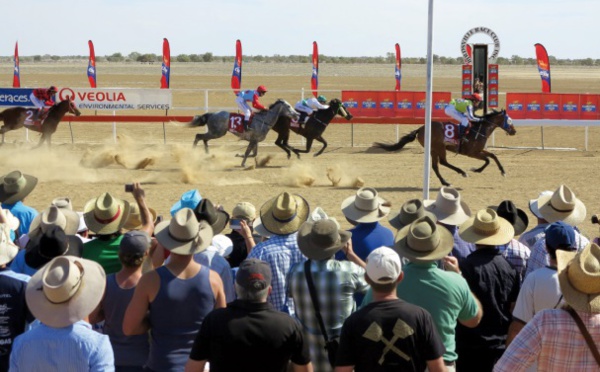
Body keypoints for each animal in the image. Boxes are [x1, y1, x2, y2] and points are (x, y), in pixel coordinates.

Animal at [376, 109, 516, 187]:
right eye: (509, 120)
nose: (514, 131)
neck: (479, 130)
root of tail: (420, 129)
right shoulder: (471, 152)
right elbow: (488, 159)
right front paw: (476, 170)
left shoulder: (479, 150)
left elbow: (493, 156)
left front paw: (502, 171)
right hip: (439, 147)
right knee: (443, 162)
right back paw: (461, 173)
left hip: (433, 149)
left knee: (436, 166)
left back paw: (445, 182)